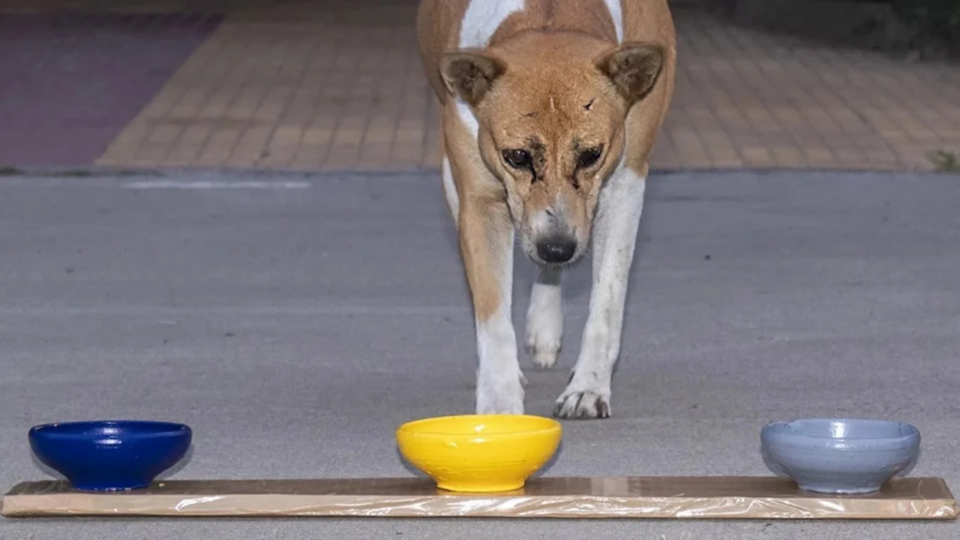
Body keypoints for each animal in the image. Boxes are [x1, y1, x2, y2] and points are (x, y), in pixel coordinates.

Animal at [418, 0, 676, 420]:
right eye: (517, 156)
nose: (557, 248)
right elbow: (492, 309)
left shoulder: (626, 181)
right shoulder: (479, 197)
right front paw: (500, 402)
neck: (549, 15)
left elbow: (607, 299)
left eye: (591, 154)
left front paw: (588, 386)